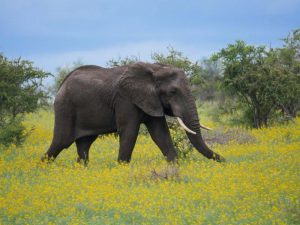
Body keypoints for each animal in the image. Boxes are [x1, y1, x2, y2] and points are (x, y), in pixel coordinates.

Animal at [42, 62, 225, 164]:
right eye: (173, 92)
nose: (225, 161)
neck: (154, 69)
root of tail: (62, 84)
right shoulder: (125, 99)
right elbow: (129, 132)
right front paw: (122, 167)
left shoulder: (151, 100)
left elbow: (160, 134)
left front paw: (174, 169)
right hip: (65, 108)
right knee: (60, 142)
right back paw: (41, 168)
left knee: (84, 144)